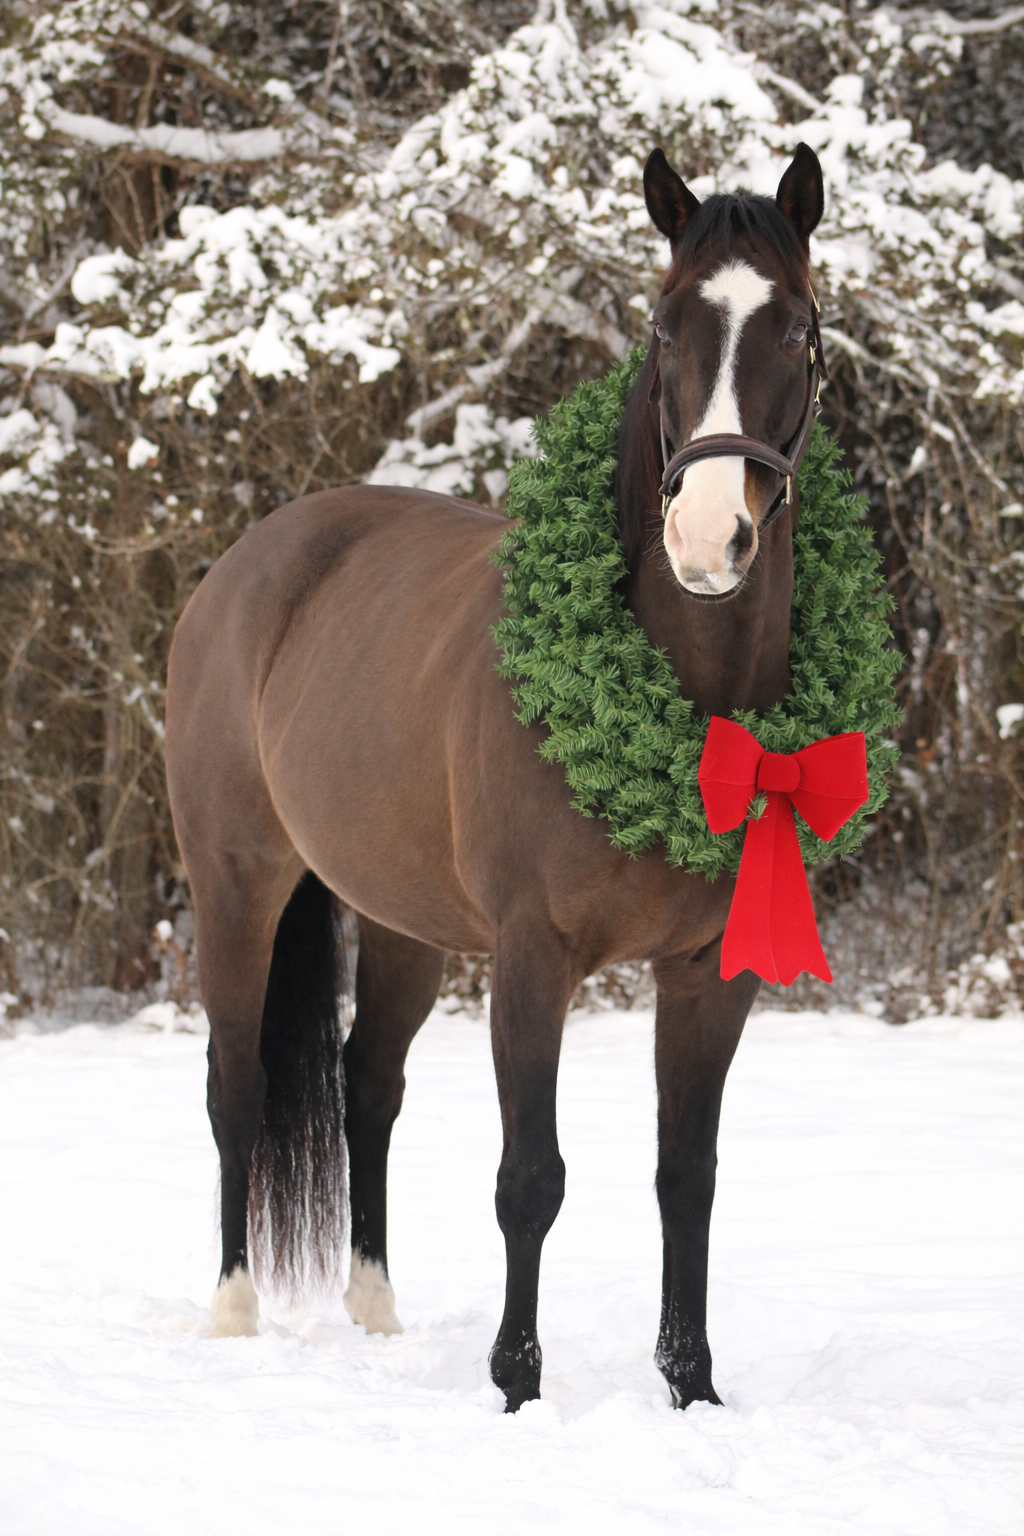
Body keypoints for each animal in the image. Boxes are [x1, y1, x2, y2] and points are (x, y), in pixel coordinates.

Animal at [165, 142, 827, 1412]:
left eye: (796, 327)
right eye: (665, 327)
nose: (707, 540)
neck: (676, 699)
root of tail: (247, 567)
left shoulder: (709, 975)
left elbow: (687, 1176)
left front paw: (692, 1390)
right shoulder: (531, 958)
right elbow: (531, 1178)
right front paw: (517, 1387)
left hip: (401, 920)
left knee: (366, 1087)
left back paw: (376, 1311)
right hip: (236, 884)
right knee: (233, 1089)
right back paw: (227, 1317)